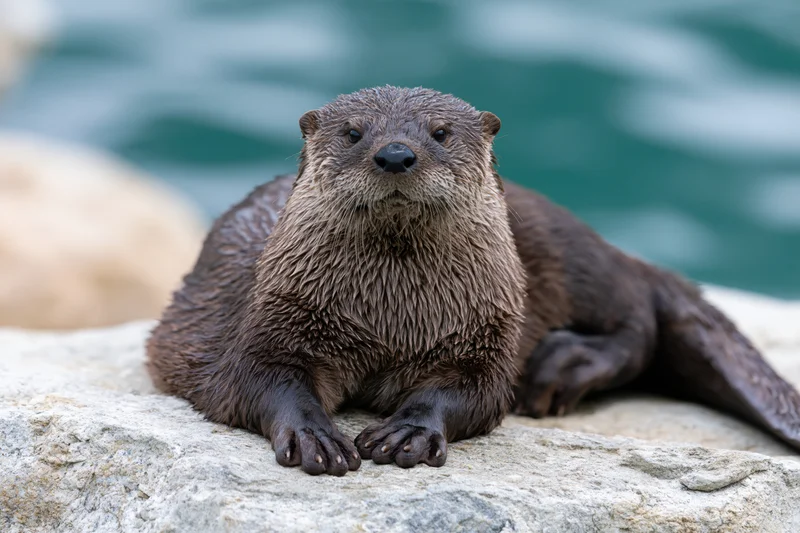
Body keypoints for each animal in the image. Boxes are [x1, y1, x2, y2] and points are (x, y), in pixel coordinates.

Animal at [147, 86, 800, 477]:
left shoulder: (483, 332)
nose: (395, 153)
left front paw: (409, 431)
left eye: (440, 132)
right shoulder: (272, 316)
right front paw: (318, 437)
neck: (390, 318)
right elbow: (258, 379)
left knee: (636, 322)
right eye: (354, 132)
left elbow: (477, 393)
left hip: (574, 255)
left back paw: (561, 368)